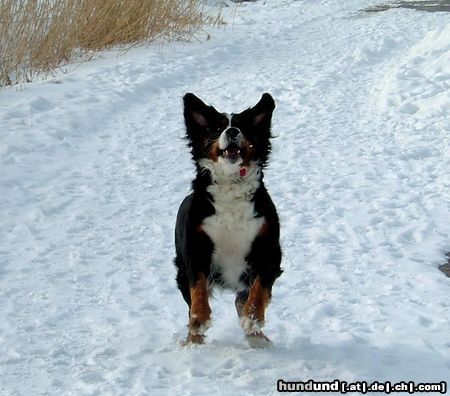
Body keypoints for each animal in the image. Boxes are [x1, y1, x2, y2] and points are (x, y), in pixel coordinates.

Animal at [173, 93, 282, 346]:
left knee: (240, 300)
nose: (232, 132)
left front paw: (253, 319)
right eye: (217, 128)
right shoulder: (196, 247)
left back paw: (257, 336)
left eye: (243, 126)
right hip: (180, 271)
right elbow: (198, 289)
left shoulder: (269, 250)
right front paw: (200, 320)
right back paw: (193, 340)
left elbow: (259, 289)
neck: (231, 185)